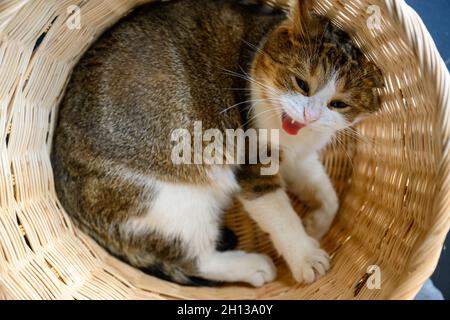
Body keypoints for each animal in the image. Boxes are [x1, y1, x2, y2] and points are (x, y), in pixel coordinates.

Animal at [51, 0, 384, 286]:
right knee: (196, 260)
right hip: (173, 201)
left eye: (338, 104)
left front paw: (316, 223)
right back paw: (254, 267)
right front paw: (305, 255)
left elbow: (329, 195)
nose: (309, 116)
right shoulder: (254, 168)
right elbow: (282, 217)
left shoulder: (299, 158)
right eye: (302, 83)